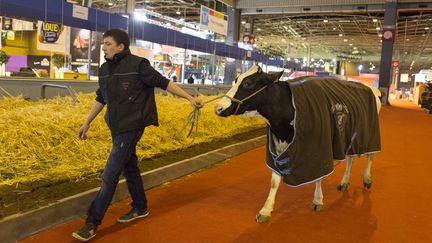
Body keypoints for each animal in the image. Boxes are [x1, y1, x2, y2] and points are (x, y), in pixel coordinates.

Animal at [214, 63, 380, 223]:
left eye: (248, 83)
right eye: (236, 79)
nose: (218, 108)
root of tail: (369, 87)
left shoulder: (320, 146)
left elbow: (319, 176)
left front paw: (317, 200)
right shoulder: (276, 150)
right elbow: (274, 181)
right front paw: (265, 210)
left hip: (370, 132)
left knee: (370, 156)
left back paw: (367, 179)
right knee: (351, 158)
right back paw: (345, 182)